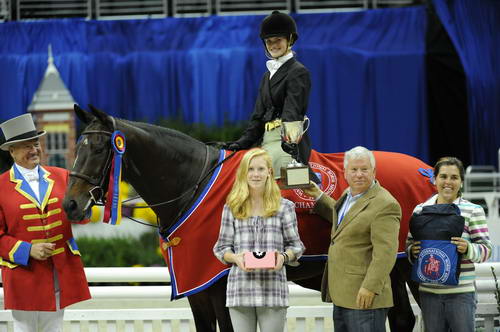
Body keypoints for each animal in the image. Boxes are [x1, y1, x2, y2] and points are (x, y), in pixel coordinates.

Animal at [63, 105, 434, 332]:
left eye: (99, 149)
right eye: (78, 147)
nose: (70, 204)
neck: (193, 184)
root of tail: (426, 169)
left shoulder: (220, 286)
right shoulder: (197, 289)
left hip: (407, 264)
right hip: (390, 267)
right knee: (402, 318)